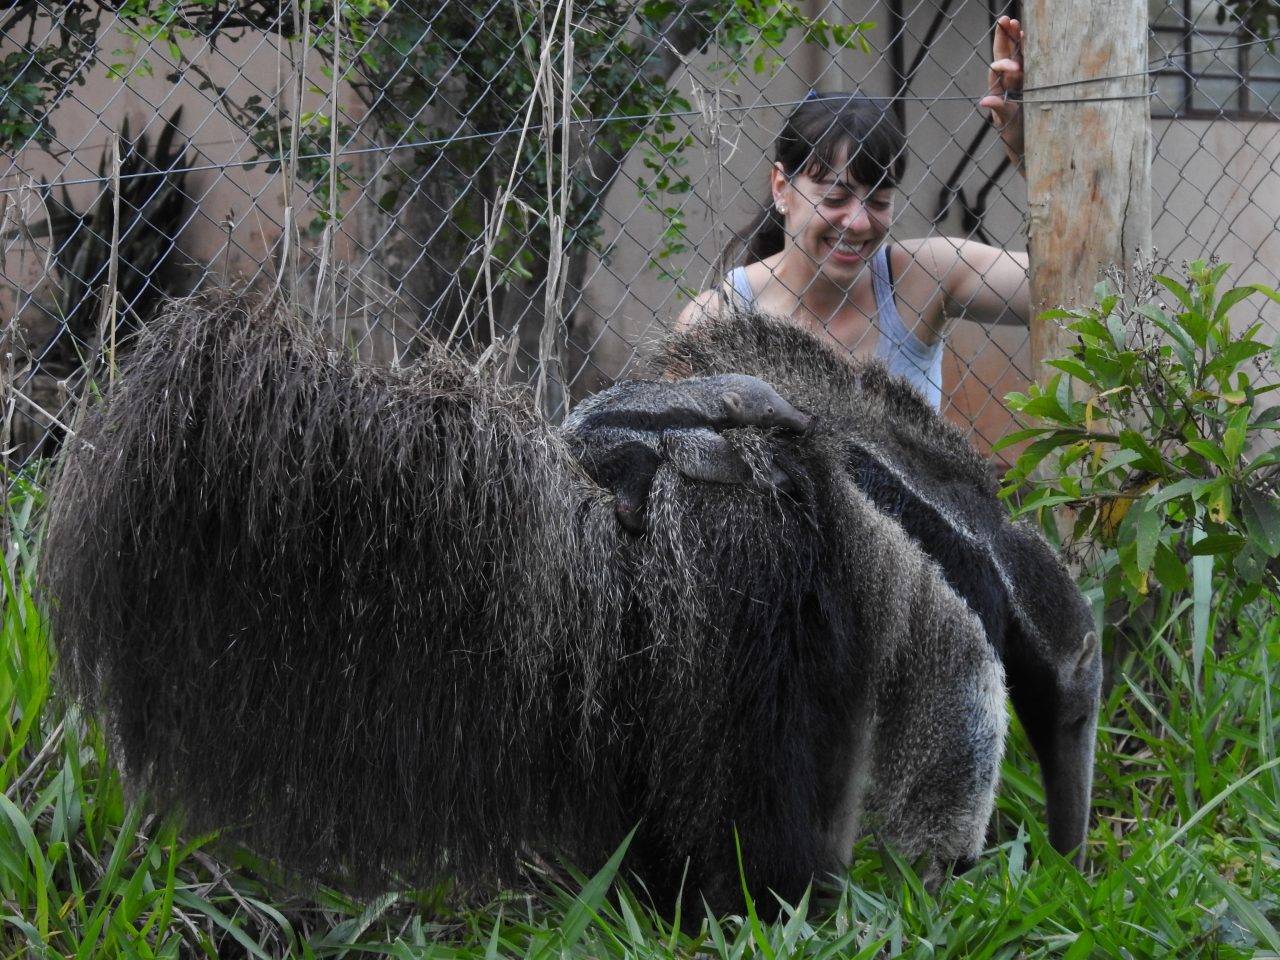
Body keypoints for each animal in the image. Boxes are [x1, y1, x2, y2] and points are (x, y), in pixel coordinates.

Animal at [562, 374, 811, 531]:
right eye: (769, 411)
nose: (805, 420)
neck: (699, 395)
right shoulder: (678, 423)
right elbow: (701, 454)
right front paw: (776, 479)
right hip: (600, 448)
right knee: (639, 460)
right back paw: (635, 520)